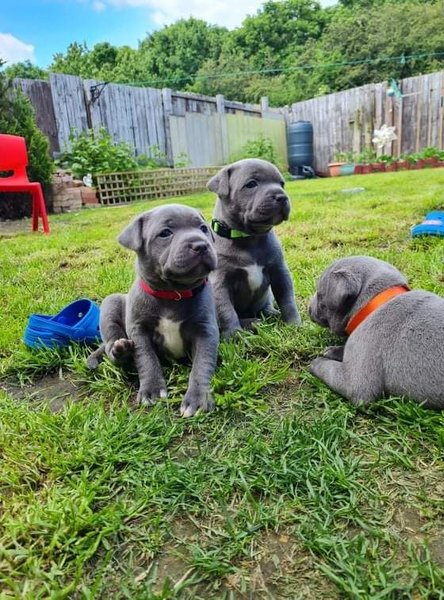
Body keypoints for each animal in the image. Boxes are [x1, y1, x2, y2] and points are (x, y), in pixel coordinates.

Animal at [86, 203, 219, 418]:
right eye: (165, 233)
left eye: (203, 228)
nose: (201, 245)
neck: (173, 294)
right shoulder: (139, 331)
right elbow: (146, 358)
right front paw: (152, 390)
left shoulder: (206, 330)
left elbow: (202, 363)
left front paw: (198, 399)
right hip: (111, 303)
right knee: (109, 346)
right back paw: (120, 350)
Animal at [207, 159, 298, 338]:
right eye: (251, 184)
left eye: (282, 184)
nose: (282, 196)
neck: (249, 238)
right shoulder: (219, 283)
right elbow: (227, 311)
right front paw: (234, 335)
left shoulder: (280, 272)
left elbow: (287, 300)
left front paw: (295, 325)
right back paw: (251, 323)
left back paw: (271, 314)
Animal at [308, 255, 444, 410]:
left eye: (319, 295)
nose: (308, 307)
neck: (374, 304)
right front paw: (333, 350)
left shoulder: (355, 384)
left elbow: (328, 369)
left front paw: (316, 362)